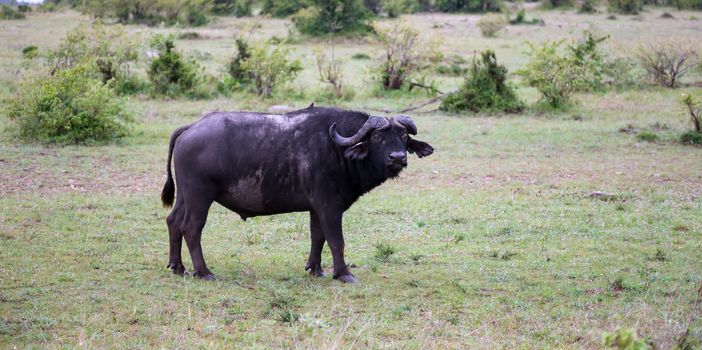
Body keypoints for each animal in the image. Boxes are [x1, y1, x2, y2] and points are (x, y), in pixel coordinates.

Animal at [162, 105, 434, 284]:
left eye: (403, 136)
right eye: (378, 137)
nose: (397, 158)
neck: (337, 149)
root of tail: (190, 128)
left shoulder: (316, 208)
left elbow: (318, 237)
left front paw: (315, 269)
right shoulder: (329, 206)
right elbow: (336, 240)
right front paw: (343, 273)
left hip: (185, 196)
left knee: (173, 222)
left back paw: (177, 267)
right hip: (199, 196)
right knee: (191, 228)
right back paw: (204, 272)